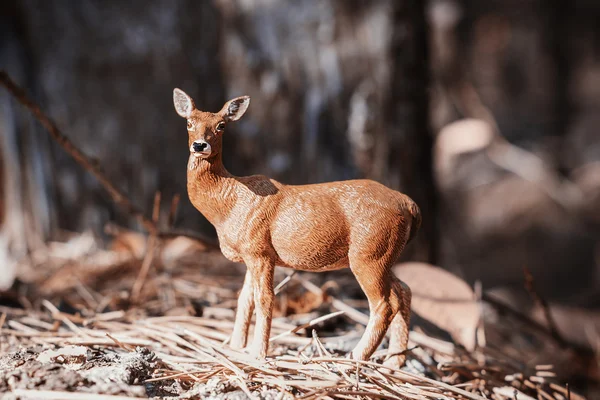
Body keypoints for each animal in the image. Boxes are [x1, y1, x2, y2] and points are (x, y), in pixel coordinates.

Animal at [171, 89, 420, 368]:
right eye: (189, 123)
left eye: (221, 125)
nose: (199, 145)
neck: (227, 204)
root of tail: (409, 204)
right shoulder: (250, 253)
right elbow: (244, 298)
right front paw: (236, 348)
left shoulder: (259, 250)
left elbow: (265, 299)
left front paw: (258, 354)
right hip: (385, 253)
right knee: (404, 291)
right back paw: (394, 362)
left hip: (369, 252)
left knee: (383, 303)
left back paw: (355, 357)